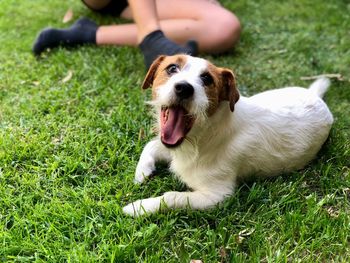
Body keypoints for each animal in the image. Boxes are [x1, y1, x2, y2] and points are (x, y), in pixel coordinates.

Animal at [123, 54, 334, 218]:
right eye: (172, 68)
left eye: (207, 79)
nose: (184, 88)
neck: (201, 137)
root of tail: (316, 96)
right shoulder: (173, 148)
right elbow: (151, 145)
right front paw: (142, 172)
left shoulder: (217, 195)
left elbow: (172, 196)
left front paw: (139, 207)